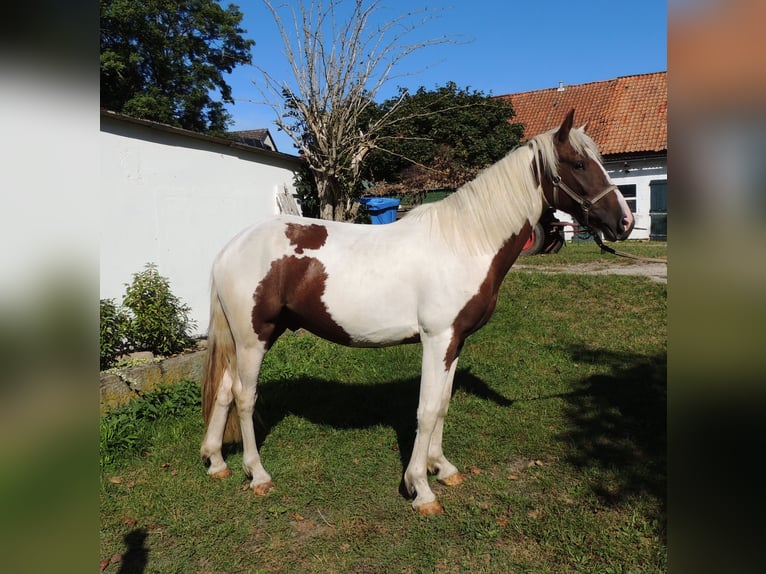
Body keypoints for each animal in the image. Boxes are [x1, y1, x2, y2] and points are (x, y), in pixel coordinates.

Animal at [200, 109, 636, 516]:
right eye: (578, 164)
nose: (625, 222)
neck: (465, 242)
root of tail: (228, 248)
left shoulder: (455, 342)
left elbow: (441, 406)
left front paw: (442, 468)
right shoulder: (437, 339)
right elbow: (425, 411)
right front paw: (420, 488)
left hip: (251, 338)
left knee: (223, 391)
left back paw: (217, 462)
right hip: (254, 338)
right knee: (244, 397)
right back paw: (257, 474)